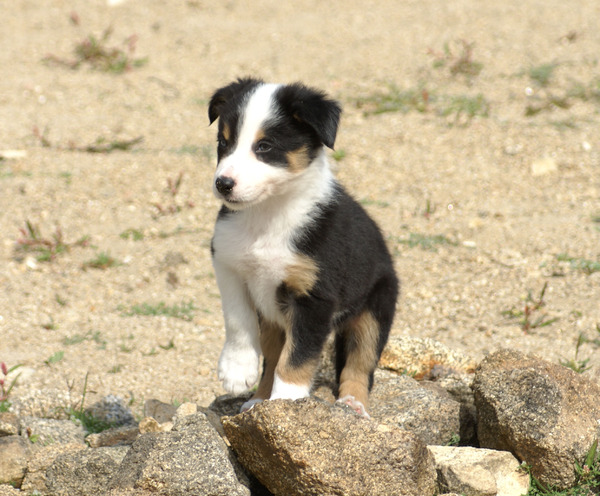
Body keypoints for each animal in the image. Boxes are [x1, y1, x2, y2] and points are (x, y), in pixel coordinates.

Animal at [206, 77, 398, 416]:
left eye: (265, 146)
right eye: (223, 143)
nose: (223, 184)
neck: (267, 215)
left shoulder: (314, 298)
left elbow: (297, 357)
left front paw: (287, 403)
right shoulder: (227, 264)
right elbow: (237, 319)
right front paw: (237, 370)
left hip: (374, 309)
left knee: (359, 364)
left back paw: (353, 404)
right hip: (273, 318)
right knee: (272, 358)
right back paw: (258, 399)